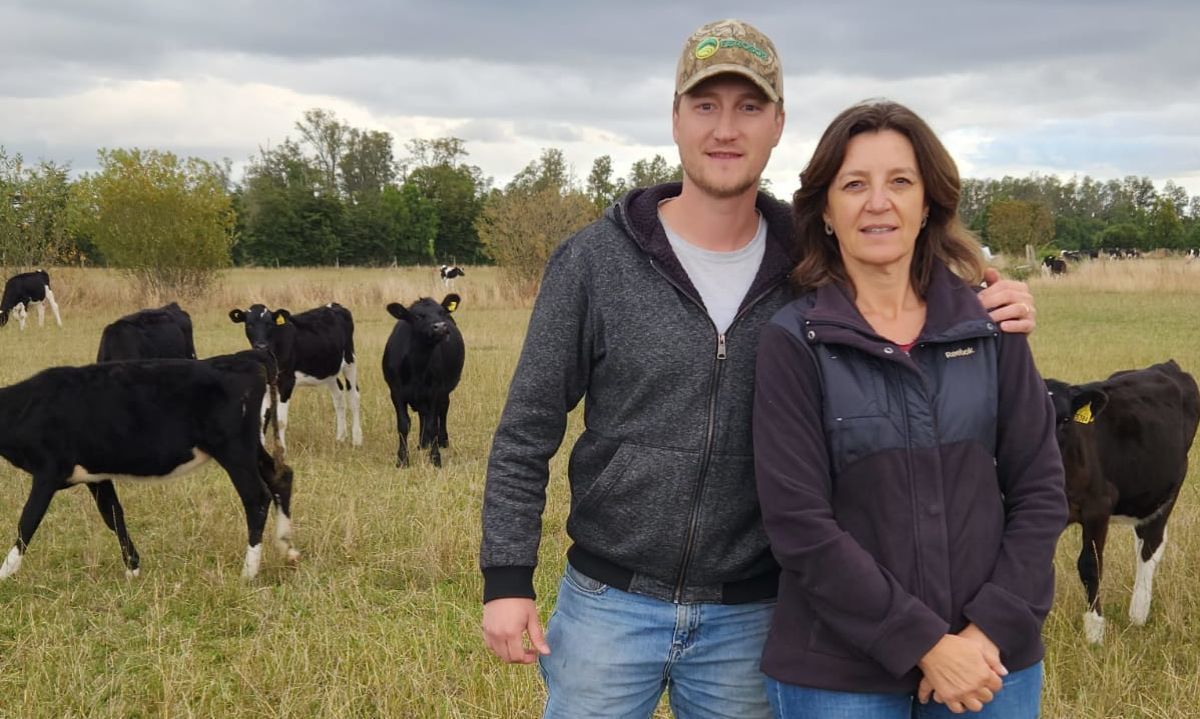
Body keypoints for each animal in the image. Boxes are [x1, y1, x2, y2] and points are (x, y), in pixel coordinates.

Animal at [384, 295, 463, 470]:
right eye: (418, 316)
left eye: (441, 312)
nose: (440, 327)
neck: (416, 367)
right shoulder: (396, 392)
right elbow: (403, 424)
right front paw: (402, 460)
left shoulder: (435, 391)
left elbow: (433, 424)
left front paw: (435, 459)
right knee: (423, 414)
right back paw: (423, 443)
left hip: (444, 391)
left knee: (442, 410)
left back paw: (441, 441)